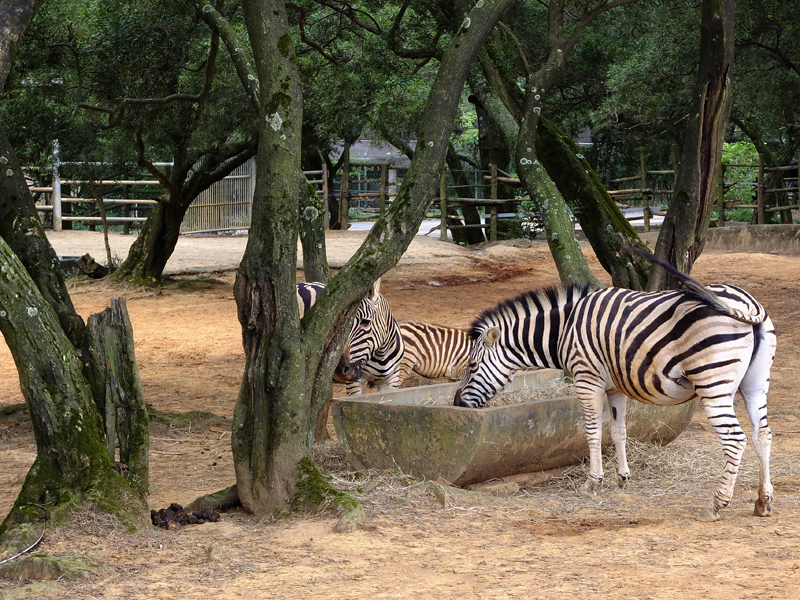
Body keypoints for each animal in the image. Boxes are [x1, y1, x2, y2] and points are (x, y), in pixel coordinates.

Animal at [456, 270, 776, 520]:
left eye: (472, 366)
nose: (457, 403)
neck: (564, 329)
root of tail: (749, 304)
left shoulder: (587, 380)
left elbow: (593, 432)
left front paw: (593, 483)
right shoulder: (615, 388)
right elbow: (619, 431)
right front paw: (623, 479)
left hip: (713, 382)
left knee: (735, 439)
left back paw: (717, 504)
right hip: (755, 383)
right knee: (762, 435)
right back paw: (763, 501)